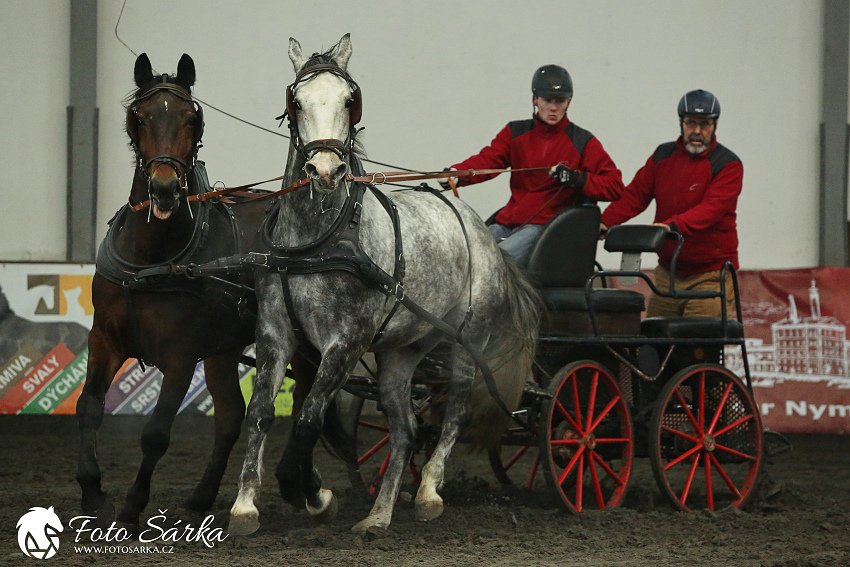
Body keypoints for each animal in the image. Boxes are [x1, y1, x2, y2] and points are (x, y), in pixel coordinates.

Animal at [75, 54, 302, 528]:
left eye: (192, 118)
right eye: (139, 117)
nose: (163, 188)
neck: (152, 258)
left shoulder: (180, 356)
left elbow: (156, 434)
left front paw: (133, 505)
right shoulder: (104, 338)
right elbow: (89, 408)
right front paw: (92, 491)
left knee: (312, 397)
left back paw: (304, 483)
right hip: (222, 347)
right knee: (231, 416)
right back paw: (201, 497)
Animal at [227, 35, 536, 536]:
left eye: (349, 100)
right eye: (296, 101)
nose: (325, 171)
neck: (316, 240)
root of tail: (481, 231)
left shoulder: (346, 341)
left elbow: (309, 417)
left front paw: (310, 493)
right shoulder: (276, 332)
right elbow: (260, 414)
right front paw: (245, 505)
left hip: (467, 340)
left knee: (455, 413)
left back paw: (428, 492)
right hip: (401, 352)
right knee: (406, 429)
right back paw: (378, 515)